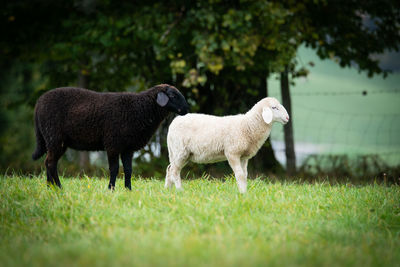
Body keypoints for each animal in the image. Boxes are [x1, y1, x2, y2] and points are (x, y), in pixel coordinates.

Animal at [32, 84, 189, 191]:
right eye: (173, 96)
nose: (187, 109)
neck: (140, 109)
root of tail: (38, 104)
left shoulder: (128, 148)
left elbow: (128, 169)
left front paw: (128, 189)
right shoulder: (113, 144)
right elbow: (114, 168)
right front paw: (111, 189)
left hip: (56, 141)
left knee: (49, 162)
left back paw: (50, 187)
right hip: (54, 137)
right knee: (50, 162)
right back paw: (58, 187)